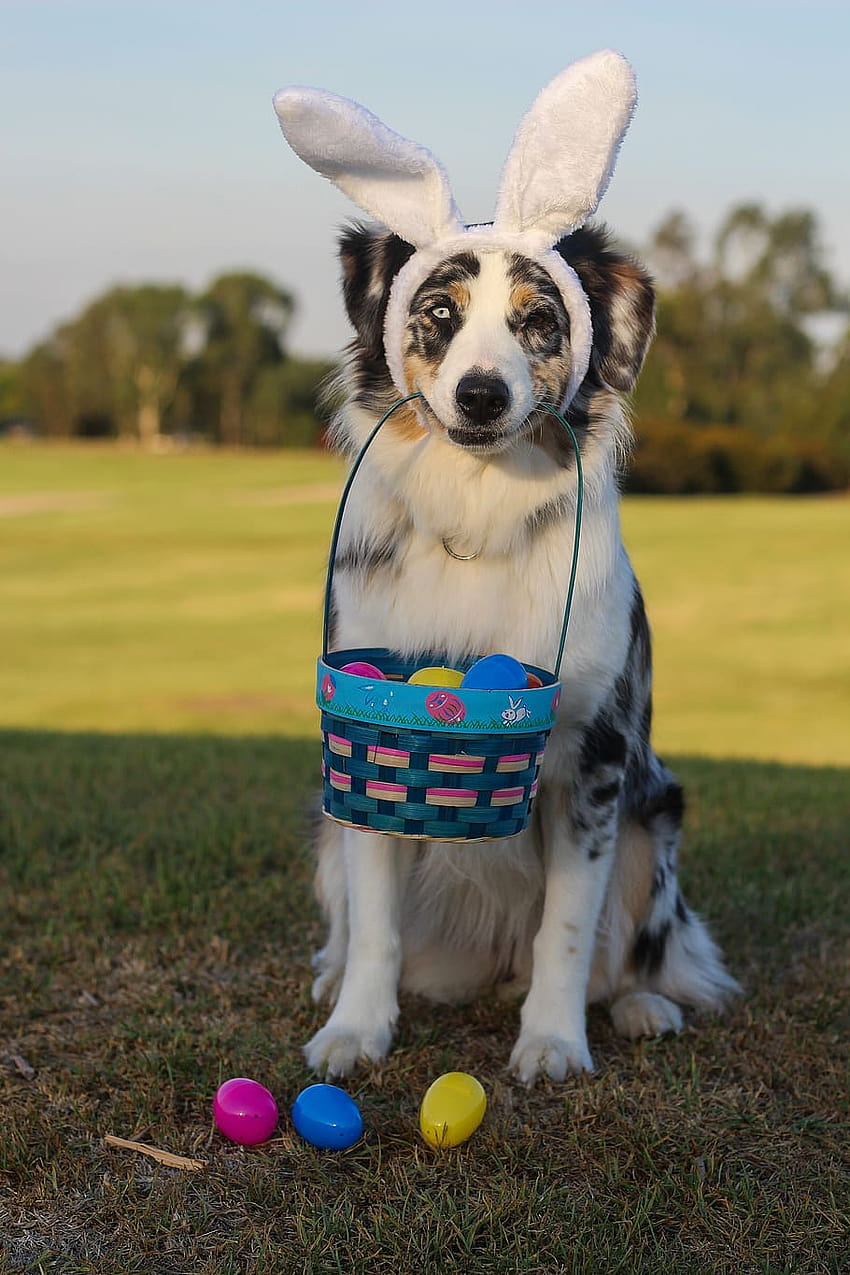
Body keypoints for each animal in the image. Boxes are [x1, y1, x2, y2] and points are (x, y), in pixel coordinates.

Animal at [277, 52, 739, 1086]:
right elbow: (375, 924)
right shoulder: (372, 740)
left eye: (538, 323)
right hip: (324, 836)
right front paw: (356, 1028)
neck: (477, 512)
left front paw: (555, 1041)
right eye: (438, 316)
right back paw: (331, 976)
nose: (482, 394)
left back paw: (642, 1005)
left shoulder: (596, 761)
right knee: (351, 920)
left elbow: (569, 927)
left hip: (657, 819)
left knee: (643, 948)